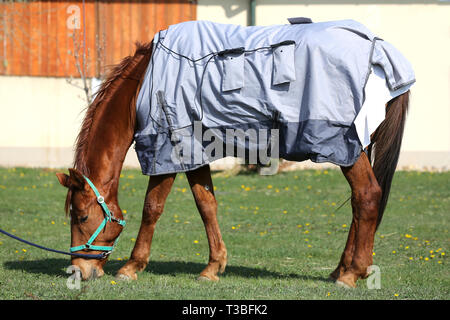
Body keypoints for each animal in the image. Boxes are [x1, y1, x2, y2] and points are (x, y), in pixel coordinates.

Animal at [56, 40, 412, 288]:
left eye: (83, 216)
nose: (79, 271)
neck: (146, 82)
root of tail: (380, 51)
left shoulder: (167, 148)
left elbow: (152, 207)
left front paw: (132, 267)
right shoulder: (194, 152)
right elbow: (206, 205)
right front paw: (213, 267)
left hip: (344, 146)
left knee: (367, 196)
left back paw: (351, 274)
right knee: (359, 204)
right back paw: (342, 268)